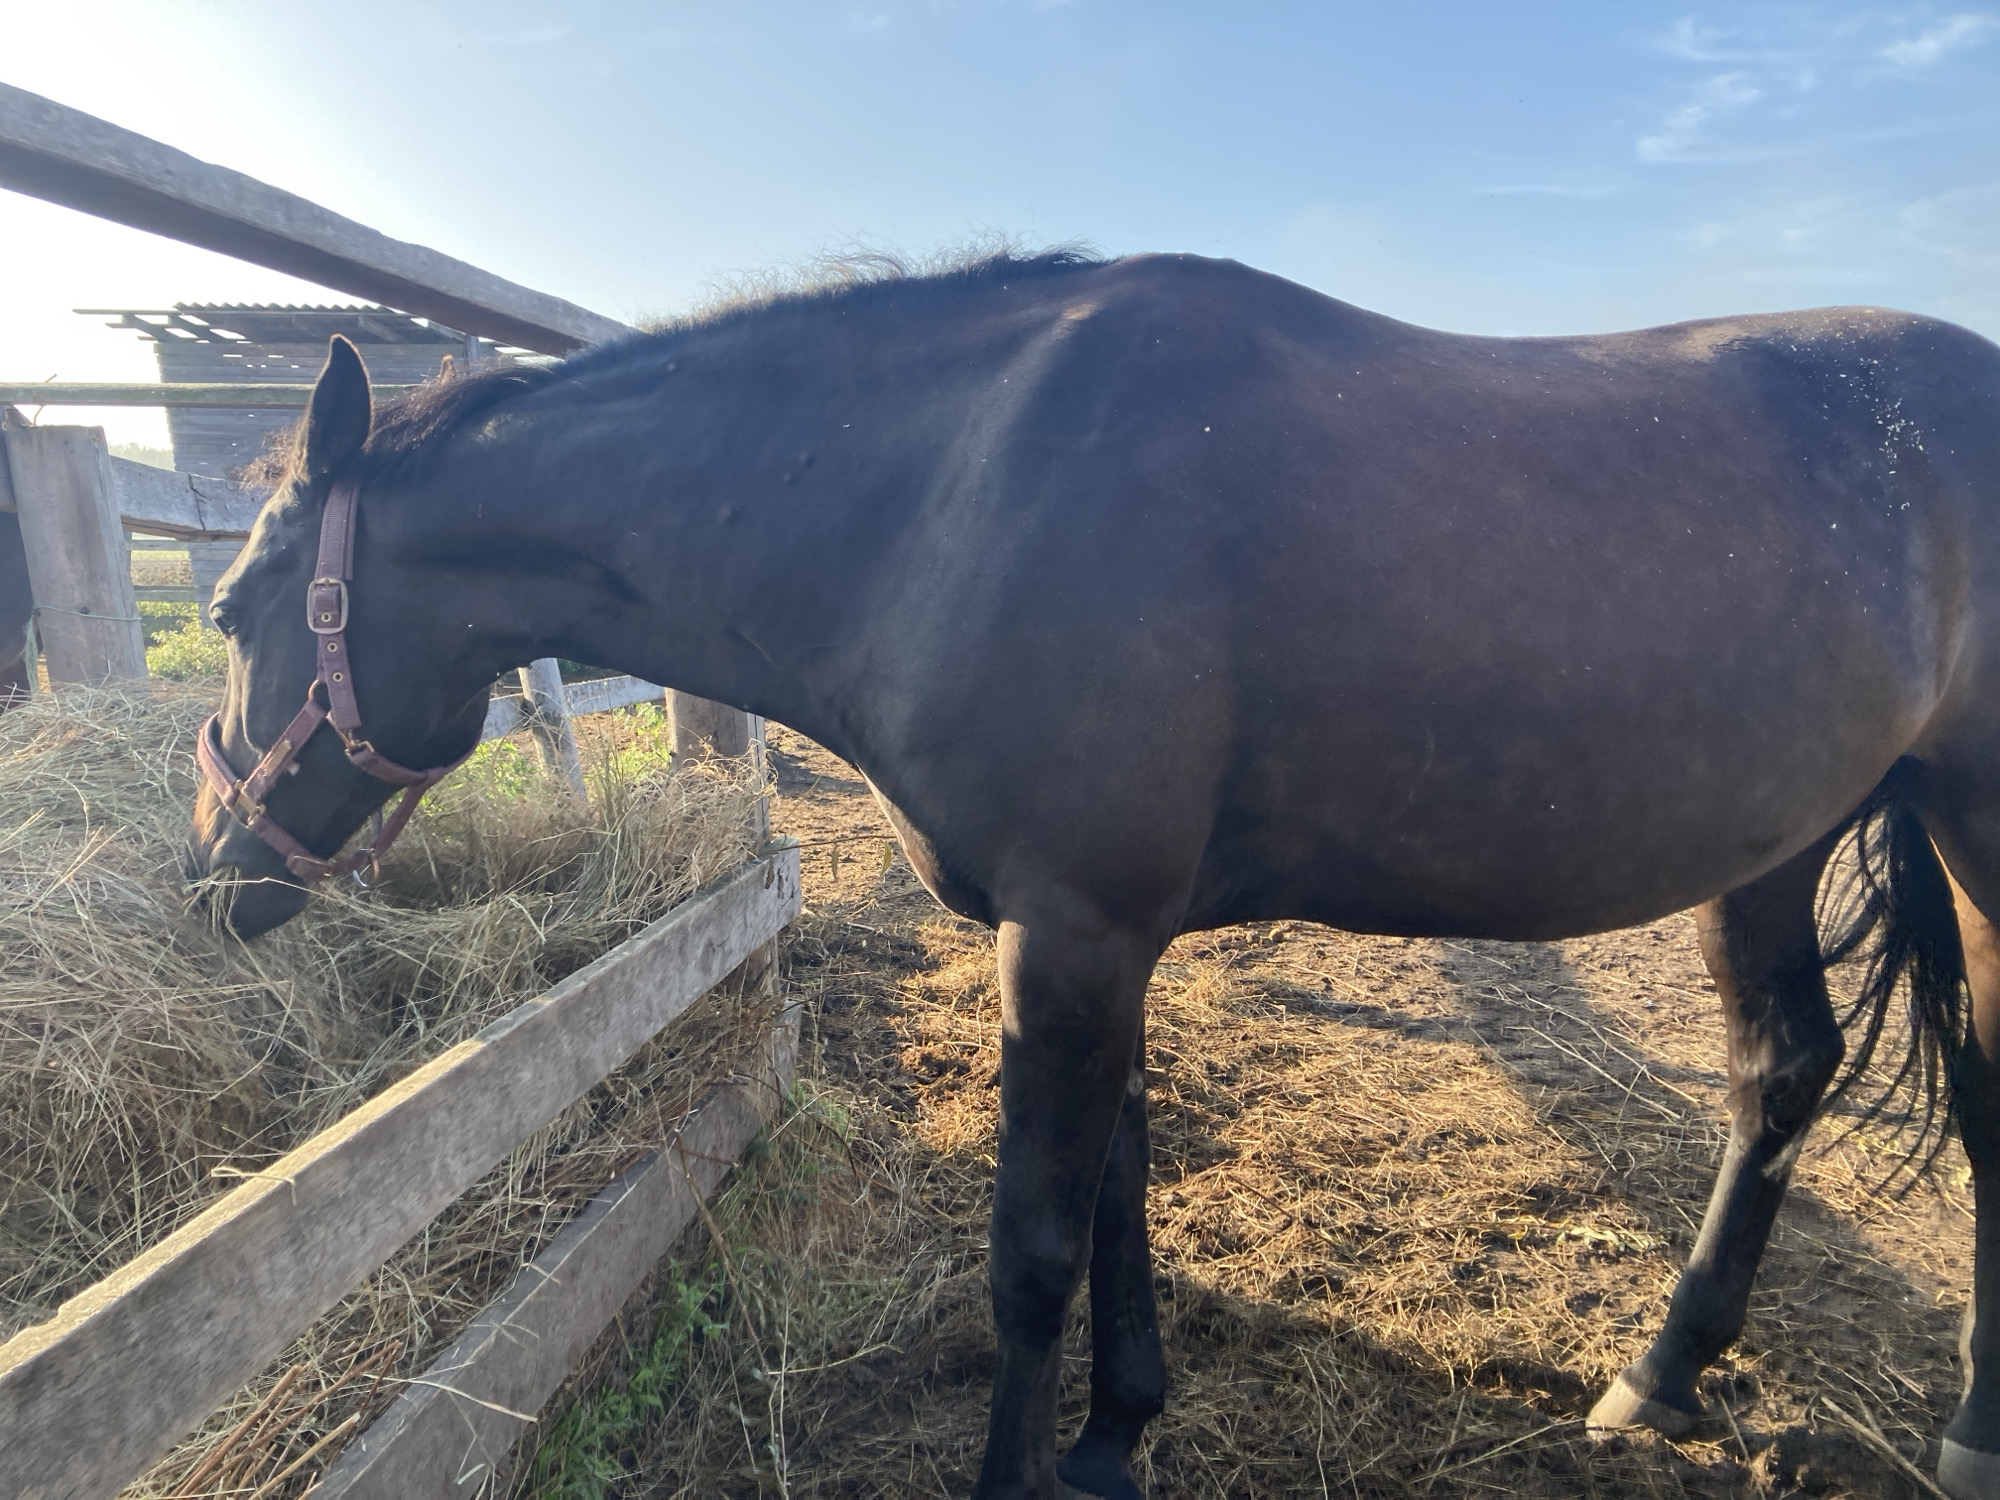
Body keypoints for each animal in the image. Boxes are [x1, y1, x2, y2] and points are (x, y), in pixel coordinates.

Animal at [183, 249, 2000, 1499]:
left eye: (226, 608)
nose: (213, 880)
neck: (954, 497)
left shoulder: (1067, 937)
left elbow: (1036, 1248)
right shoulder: (1101, 943)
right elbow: (1121, 1188)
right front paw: (1117, 1434)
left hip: (1979, 832)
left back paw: (1967, 1427)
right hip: (1779, 836)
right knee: (1784, 1072)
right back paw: (1661, 1374)